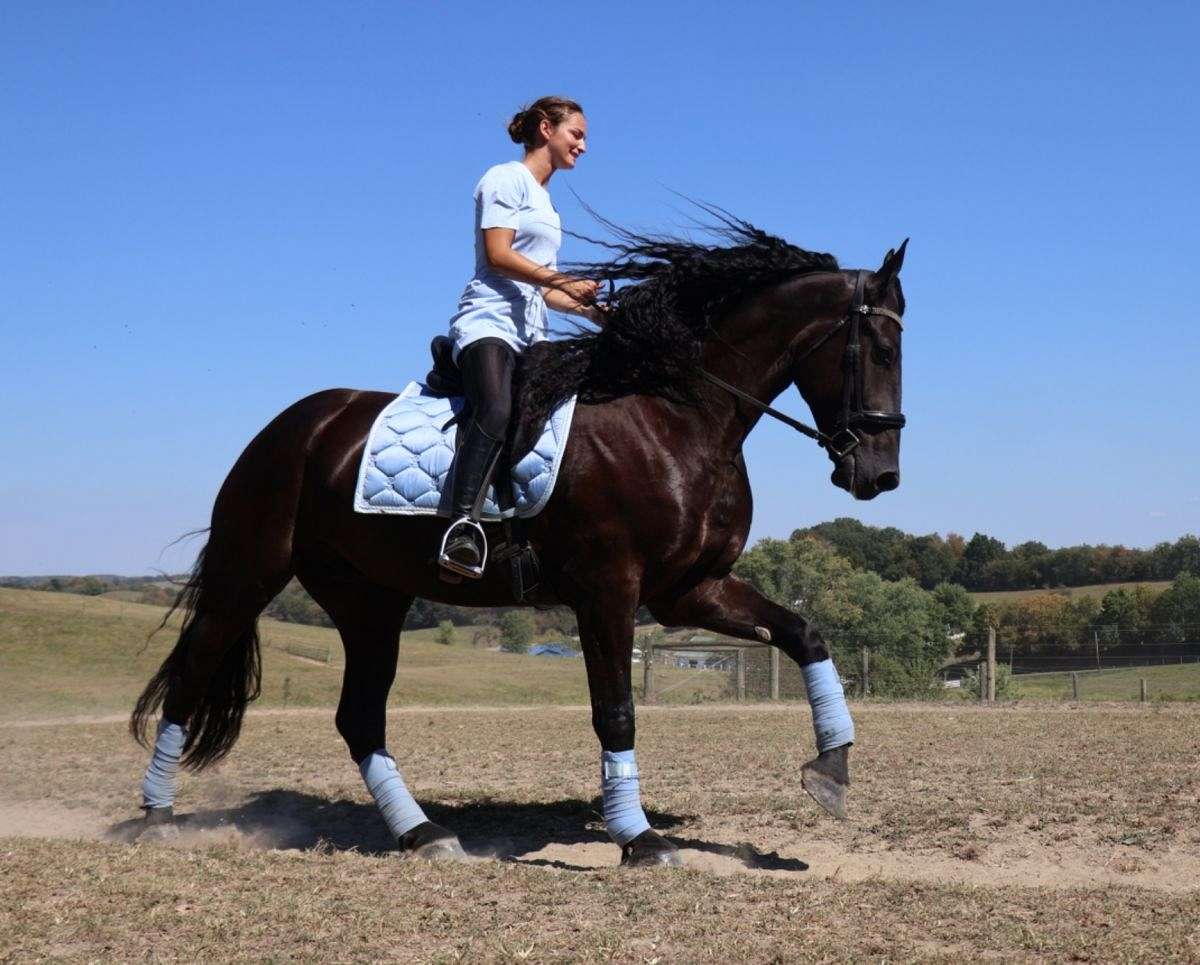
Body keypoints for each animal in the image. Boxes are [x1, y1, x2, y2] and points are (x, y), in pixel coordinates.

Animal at [131, 217, 907, 867]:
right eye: (878, 348)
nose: (879, 475)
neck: (673, 416)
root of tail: (291, 426)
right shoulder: (609, 589)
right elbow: (615, 711)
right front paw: (639, 839)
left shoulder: (689, 590)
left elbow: (804, 633)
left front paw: (832, 768)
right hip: (249, 571)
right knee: (192, 675)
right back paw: (155, 817)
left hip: (369, 600)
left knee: (359, 717)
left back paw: (425, 834)